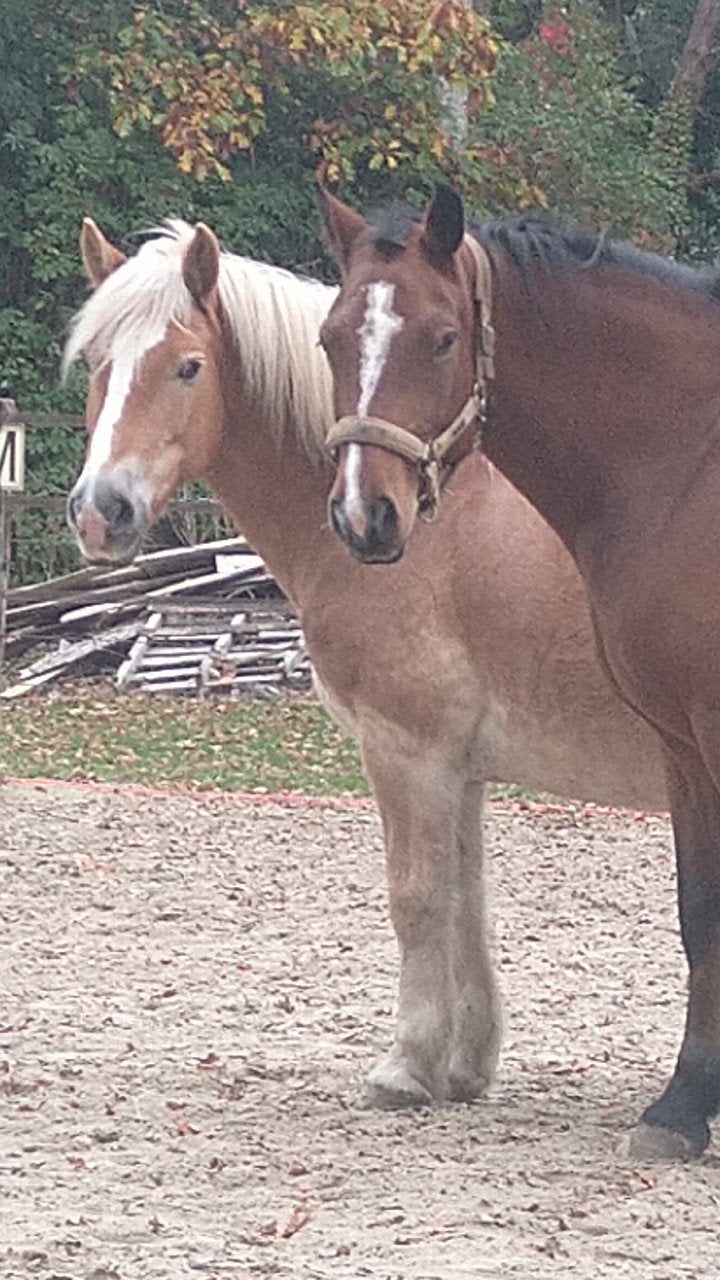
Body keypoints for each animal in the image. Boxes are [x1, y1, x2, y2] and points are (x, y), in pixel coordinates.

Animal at [65, 214, 666, 1127]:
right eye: (99, 360)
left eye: (187, 366)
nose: (103, 511)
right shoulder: (459, 768)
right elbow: (464, 901)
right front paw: (465, 1065)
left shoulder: (403, 748)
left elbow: (414, 899)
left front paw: (406, 1066)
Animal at [316, 184, 720, 1159]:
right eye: (331, 338)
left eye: (442, 338)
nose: (364, 516)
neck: (688, 463)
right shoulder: (683, 748)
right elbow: (700, 915)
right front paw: (683, 1106)